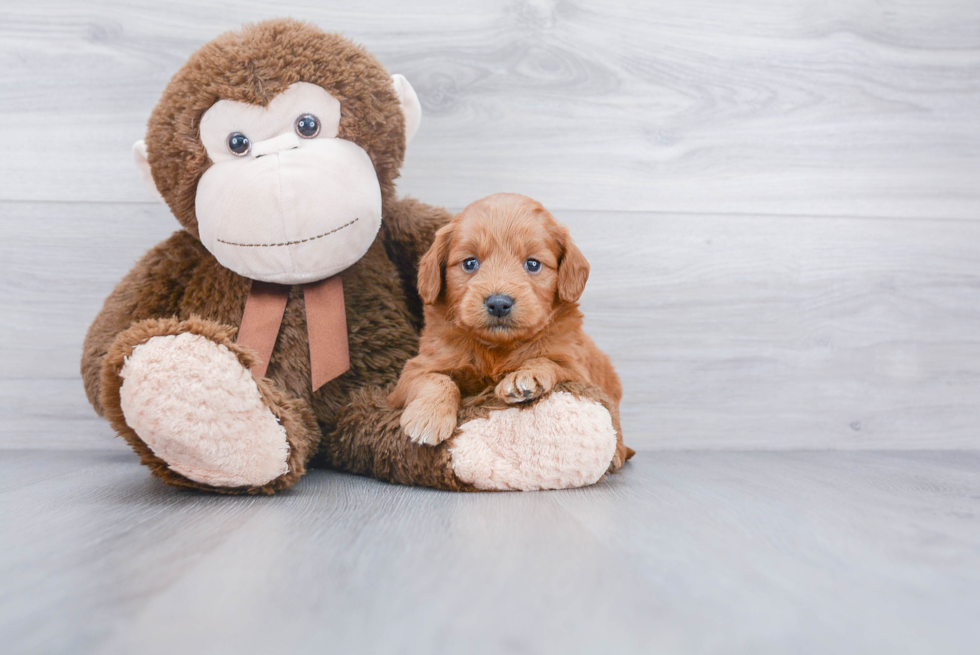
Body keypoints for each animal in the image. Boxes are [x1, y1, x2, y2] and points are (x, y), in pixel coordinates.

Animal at [386, 192, 632, 468]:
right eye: (470, 263)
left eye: (533, 264)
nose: (498, 303)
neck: (497, 348)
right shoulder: (414, 370)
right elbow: (436, 379)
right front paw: (428, 417)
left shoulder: (578, 372)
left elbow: (549, 361)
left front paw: (525, 377)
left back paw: (618, 454)